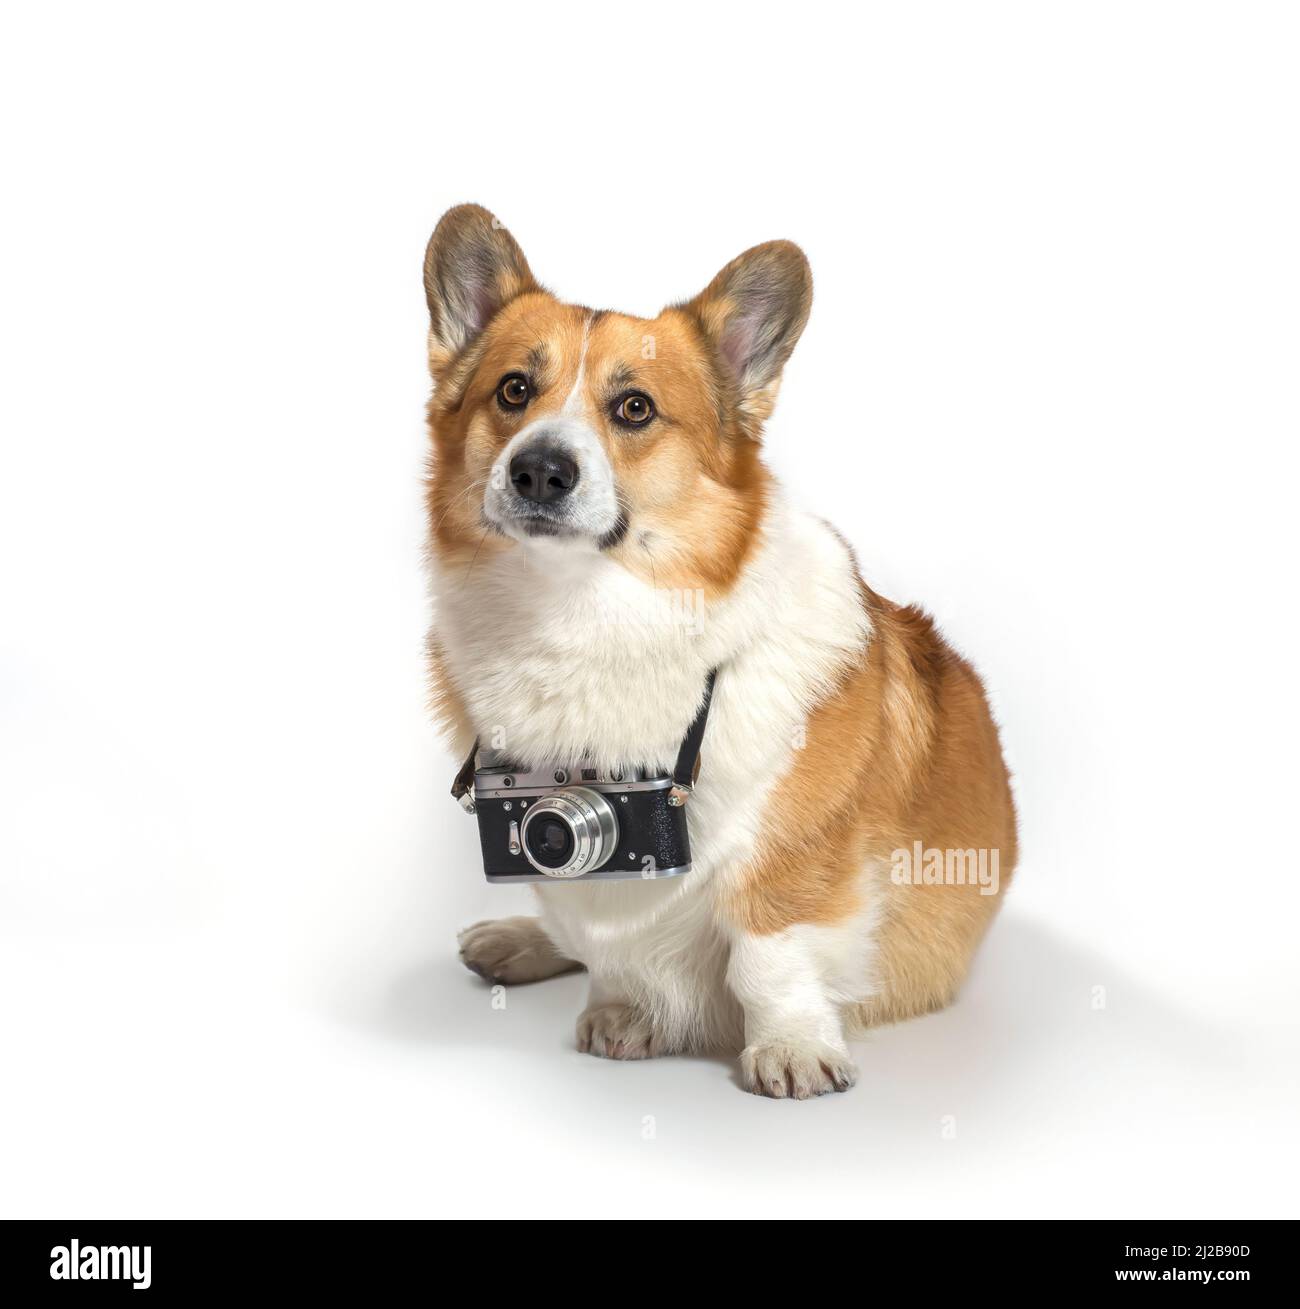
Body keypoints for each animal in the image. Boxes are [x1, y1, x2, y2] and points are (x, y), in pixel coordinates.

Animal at [426, 204, 1015, 1099]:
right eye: (513, 391)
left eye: (635, 407)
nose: (538, 470)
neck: (577, 613)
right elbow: (602, 938)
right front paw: (630, 1010)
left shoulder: (794, 861)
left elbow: (767, 952)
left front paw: (792, 1047)